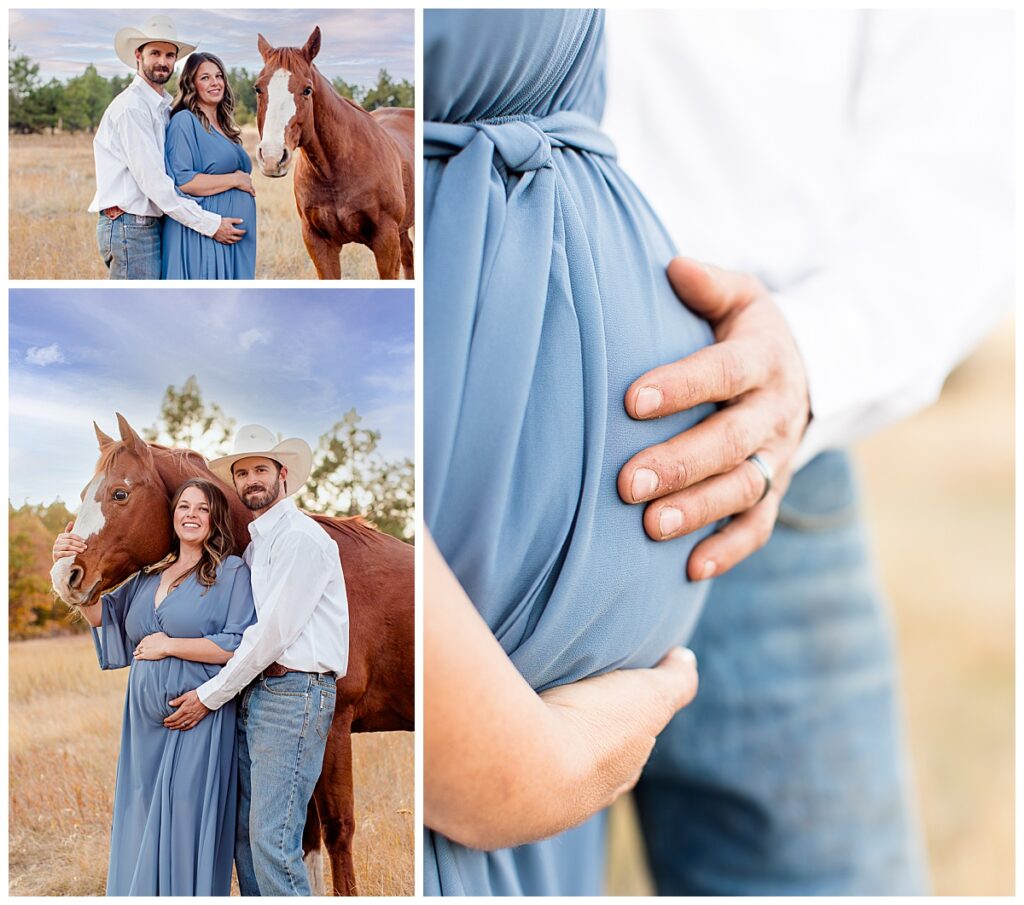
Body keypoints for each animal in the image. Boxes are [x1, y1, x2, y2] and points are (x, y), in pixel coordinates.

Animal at [253, 27, 413, 278]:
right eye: (258, 88)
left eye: (307, 89)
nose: (272, 157)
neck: (336, 170)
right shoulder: (318, 244)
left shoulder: (386, 242)